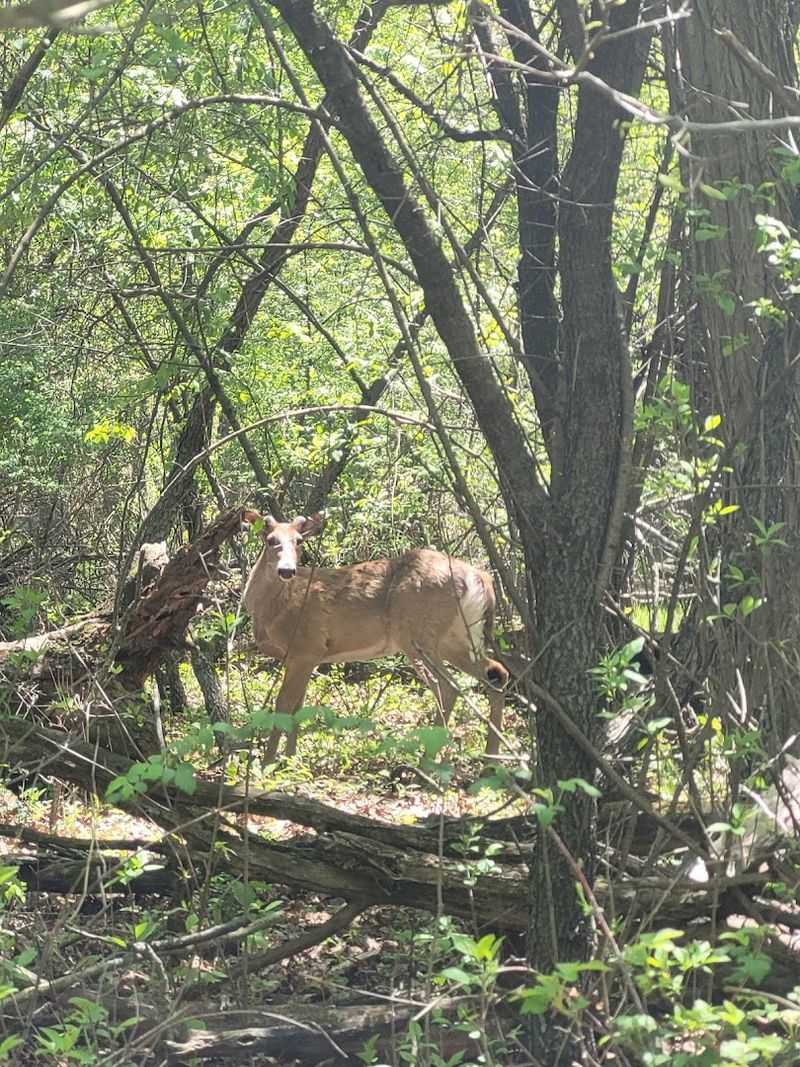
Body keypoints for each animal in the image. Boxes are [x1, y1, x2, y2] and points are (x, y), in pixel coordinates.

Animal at [241, 509, 508, 761]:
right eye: (270, 540)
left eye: (298, 541)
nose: (287, 570)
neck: (273, 610)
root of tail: (481, 578)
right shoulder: (305, 657)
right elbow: (298, 706)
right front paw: (290, 759)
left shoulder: (307, 647)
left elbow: (283, 706)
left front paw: (268, 763)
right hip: (458, 637)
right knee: (497, 674)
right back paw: (491, 757)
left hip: (417, 634)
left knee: (448, 687)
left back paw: (428, 761)